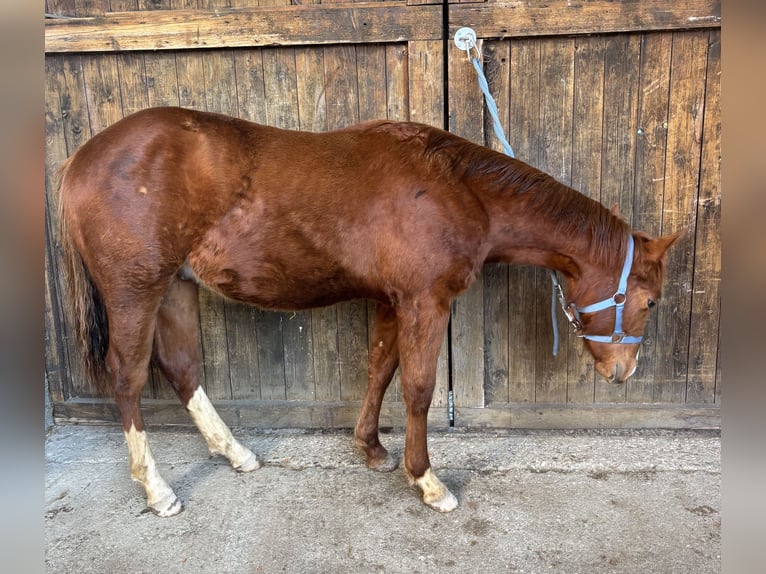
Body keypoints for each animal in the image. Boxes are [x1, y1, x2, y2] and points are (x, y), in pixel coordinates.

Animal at [57, 106, 680, 515]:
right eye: (650, 300)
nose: (622, 372)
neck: (458, 188)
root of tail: (80, 160)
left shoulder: (391, 301)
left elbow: (380, 368)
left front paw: (372, 449)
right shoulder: (426, 301)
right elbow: (419, 387)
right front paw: (426, 481)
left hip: (176, 287)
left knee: (183, 368)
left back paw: (235, 453)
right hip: (136, 291)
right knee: (128, 377)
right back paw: (157, 489)